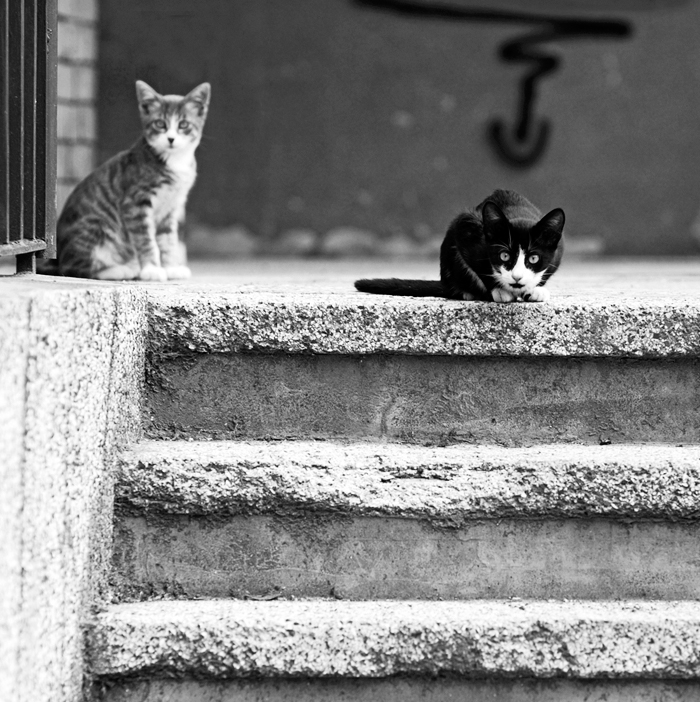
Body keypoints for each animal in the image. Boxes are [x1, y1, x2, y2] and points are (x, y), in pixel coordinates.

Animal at [50, 80, 210, 280]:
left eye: (183, 124)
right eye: (160, 124)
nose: (171, 139)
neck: (174, 161)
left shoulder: (171, 207)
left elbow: (168, 239)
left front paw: (171, 267)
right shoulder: (135, 203)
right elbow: (145, 239)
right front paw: (151, 269)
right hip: (95, 227)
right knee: (72, 268)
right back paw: (121, 269)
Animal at [355, 189, 565, 302]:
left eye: (534, 258)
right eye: (504, 256)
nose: (517, 277)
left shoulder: (558, 252)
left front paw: (535, 289)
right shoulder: (466, 229)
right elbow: (480, 269)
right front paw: (500, 290)